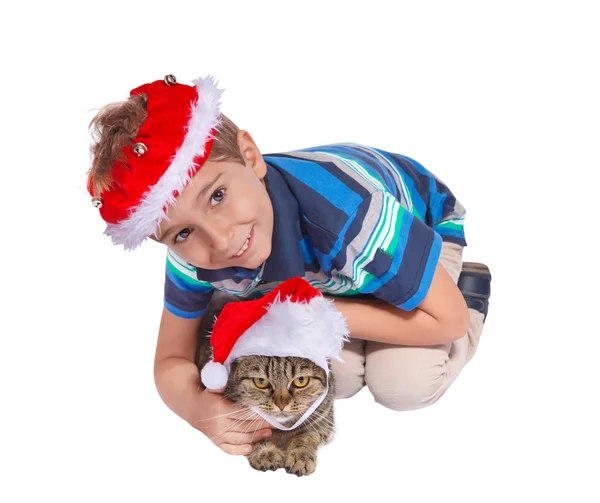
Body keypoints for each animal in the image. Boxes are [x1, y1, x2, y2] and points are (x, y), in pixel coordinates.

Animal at [197, 292, 338, 476]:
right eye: (261, 382)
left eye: (301, 381)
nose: (282, 404)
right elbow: (254, 436)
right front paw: (266, 453)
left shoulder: (323, 422)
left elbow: (305, 437)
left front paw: (300, 456)